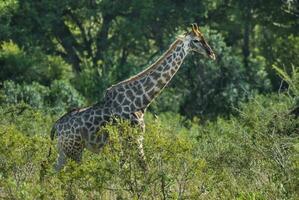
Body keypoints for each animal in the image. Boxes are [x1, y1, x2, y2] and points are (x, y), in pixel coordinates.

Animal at [51, 23, 216, 170]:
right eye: (196, 40)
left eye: (204, 38)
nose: (211, 54)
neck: (141, 101)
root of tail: (56, 127)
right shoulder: (135, 140)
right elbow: (143, 169)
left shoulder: (131, 142)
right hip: (75, 150)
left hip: (64, 151)